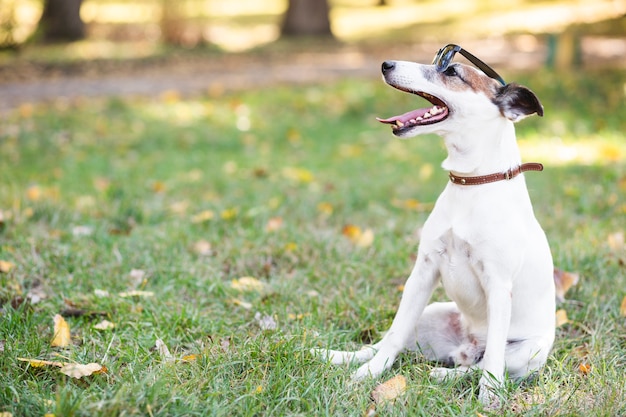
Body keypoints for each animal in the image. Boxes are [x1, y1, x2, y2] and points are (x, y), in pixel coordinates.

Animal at [314, 44, 552, 406]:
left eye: (451, 72)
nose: (385, 64)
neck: (472, 183)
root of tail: (466, 347)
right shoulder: (423, 270)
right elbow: (392, 336)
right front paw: (369, 375)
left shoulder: (498, 285)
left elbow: (493, 361)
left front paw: (489, 397)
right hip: (429, 313)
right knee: (388, 342)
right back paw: (338, 357)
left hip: (529, 352)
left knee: (482, 364)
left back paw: (446, 374)